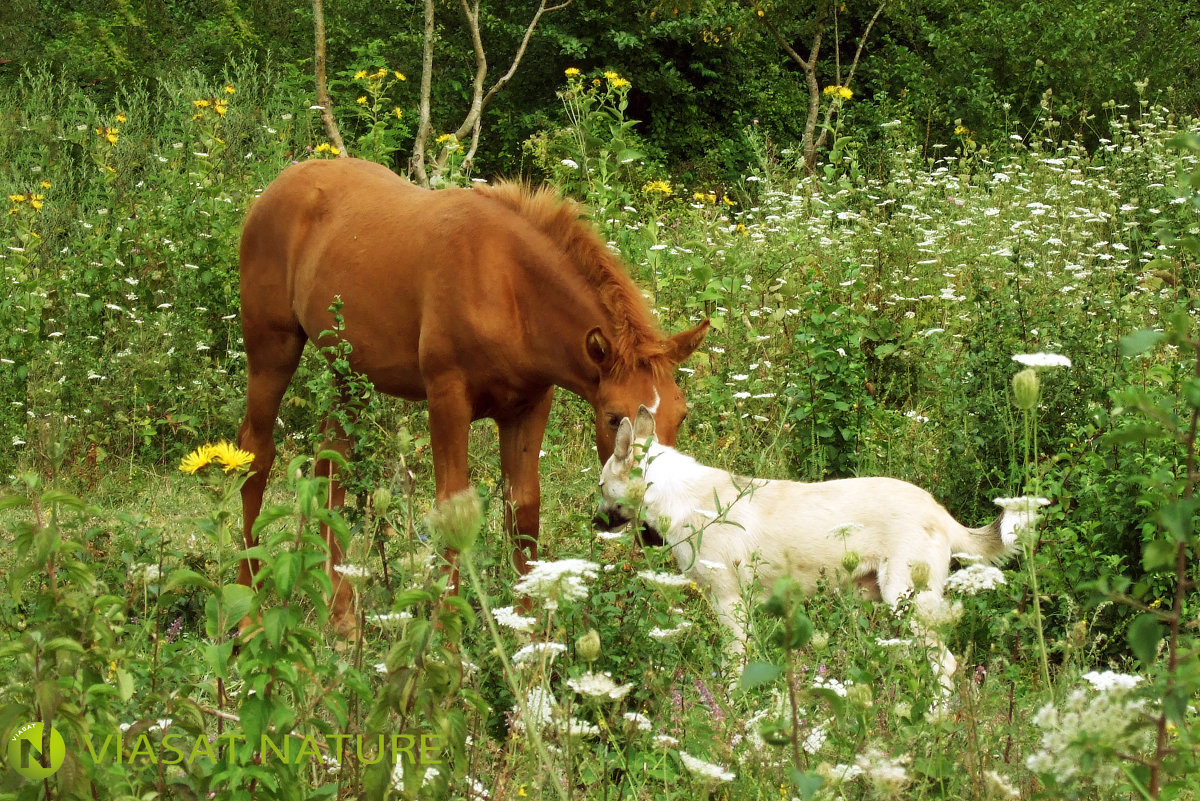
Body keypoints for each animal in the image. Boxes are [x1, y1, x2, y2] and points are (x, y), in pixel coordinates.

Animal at [235, 158, 705, 633]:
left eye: (681, 415)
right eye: (613, 418)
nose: (654, 530)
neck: (508, 287)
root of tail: (281, 185)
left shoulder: (530, 406)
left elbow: (524, 507)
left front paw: (525, 630)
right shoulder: (448, 399)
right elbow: (453, 507)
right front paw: (445, 638)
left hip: (349, 375)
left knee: (332, 464)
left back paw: (342, 614)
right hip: (272, 351)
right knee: (257, 453)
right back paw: (247, 614)